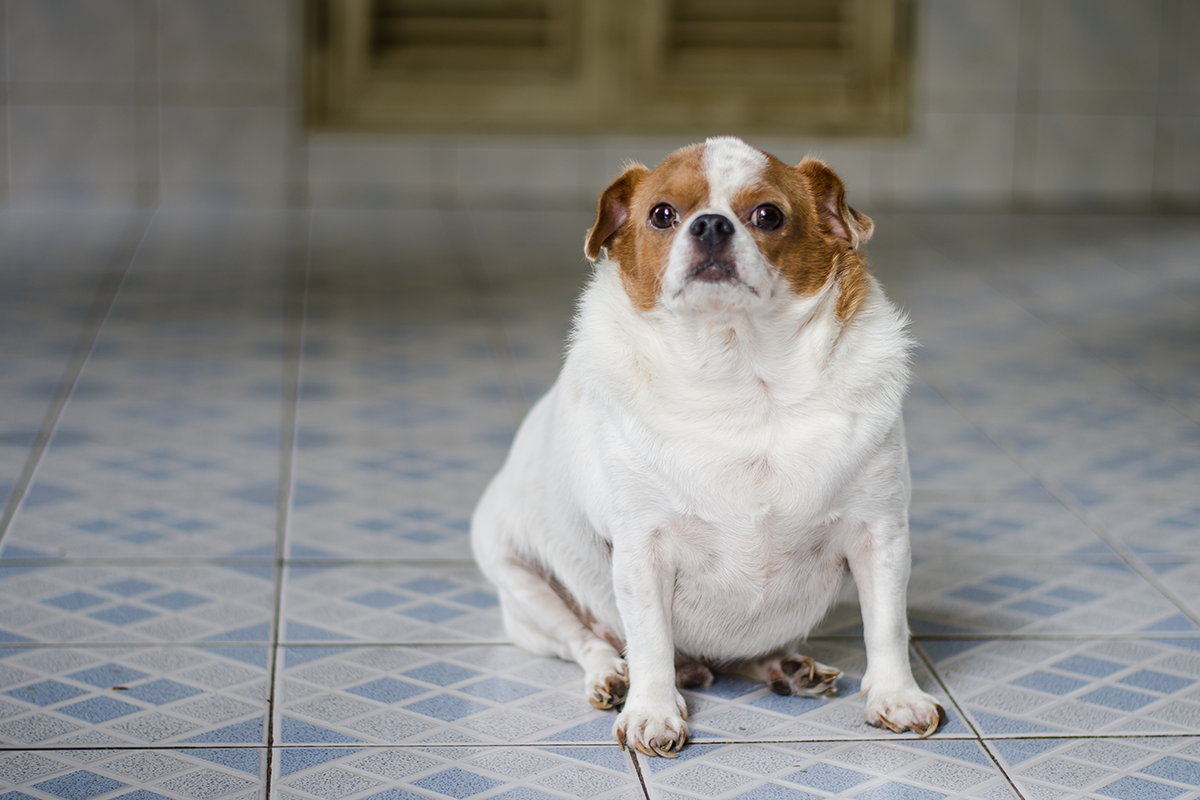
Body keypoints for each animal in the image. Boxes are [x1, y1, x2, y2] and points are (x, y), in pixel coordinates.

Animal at [468, 136, 945, 758]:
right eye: (661, 214)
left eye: (768, 215)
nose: (712, 225)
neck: (741, 379)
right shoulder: (642, 551)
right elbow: (648, 638)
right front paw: (651, 710)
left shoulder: (880, 536)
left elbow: (886, 624)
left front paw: (897, 696)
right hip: (521, 581)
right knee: (588, 641)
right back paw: (616, 677)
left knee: (741, 658)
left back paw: (783, 667)